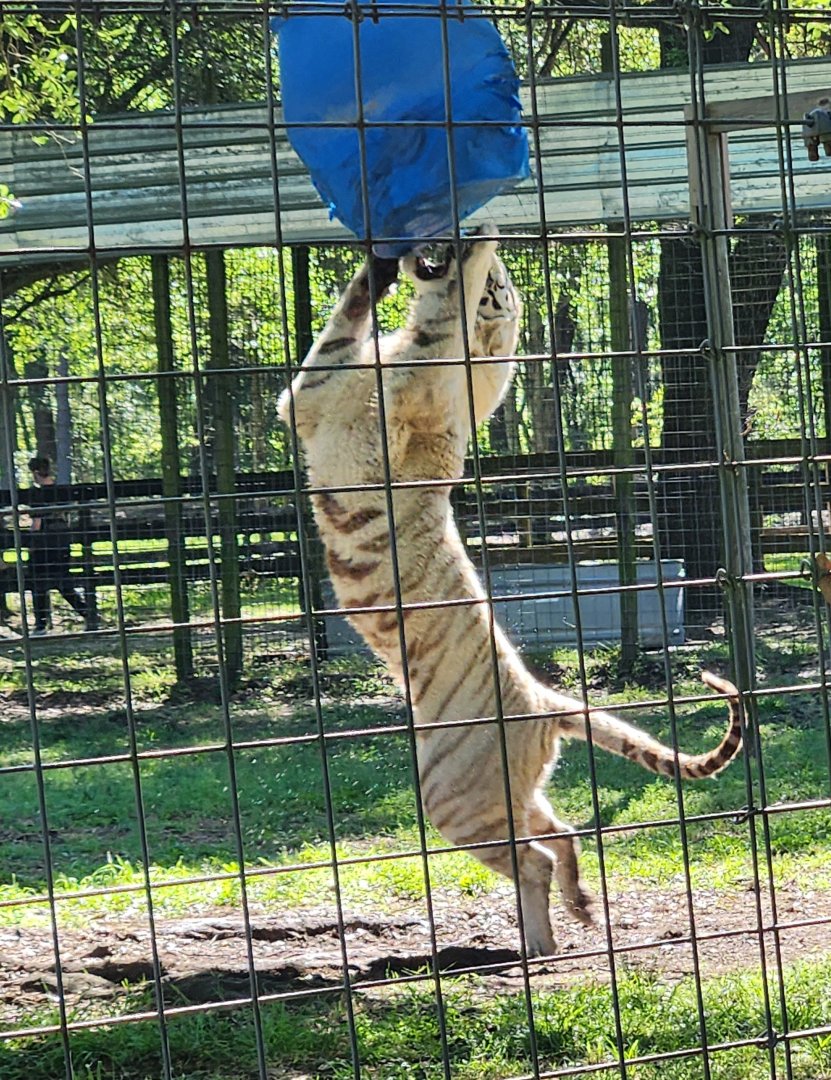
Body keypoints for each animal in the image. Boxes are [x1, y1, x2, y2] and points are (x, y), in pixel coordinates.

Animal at [278, 230, 743, 957]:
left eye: (500, 285)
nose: (483, 256)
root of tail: (545, 703)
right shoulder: (324, 392)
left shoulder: (327, 390)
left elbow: (394, 320)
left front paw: (434, 260)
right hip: (512, 796)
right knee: (565, 833)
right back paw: (578, 911)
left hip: (456, 802)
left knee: (536, 858)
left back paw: (542, 943)